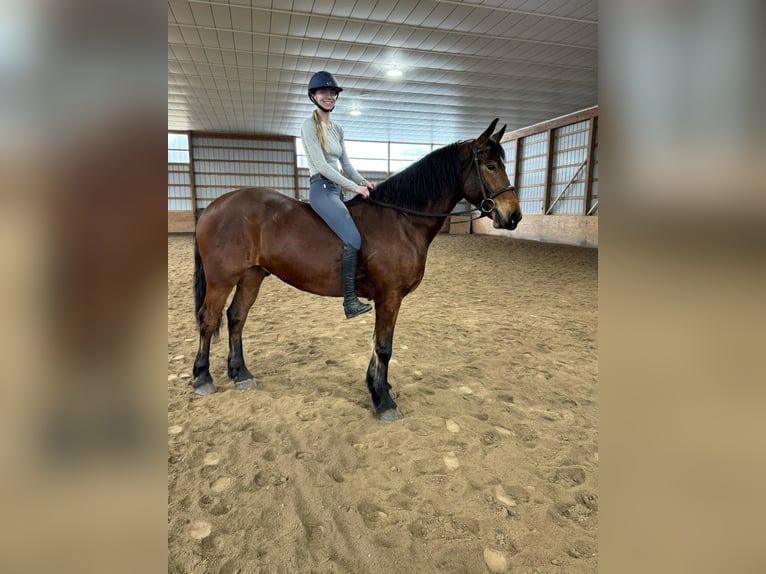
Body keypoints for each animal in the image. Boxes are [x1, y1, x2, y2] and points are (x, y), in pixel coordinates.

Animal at [191, 118, 521, 422]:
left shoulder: (390, 299)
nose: (514, 216)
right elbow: (384, 346)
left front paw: (380, 388)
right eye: (491, 166)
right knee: (208, 319)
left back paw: (241, 374)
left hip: (251, 276)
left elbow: (378, 344)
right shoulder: (389, 296)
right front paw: (383, 401)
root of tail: (214, 206)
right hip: (221, 279)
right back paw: (203, 377)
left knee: (236, 318)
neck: (401, 220)